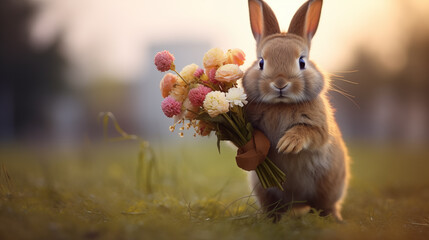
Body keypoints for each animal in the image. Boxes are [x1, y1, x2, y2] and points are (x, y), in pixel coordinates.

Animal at [242, 0, 350, 221]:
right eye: (261, 62)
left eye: (302, 62)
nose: (280, 83)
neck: (281, 105)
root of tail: (298, 203)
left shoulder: (318, 126)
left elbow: (310, 132)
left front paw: (288, 144)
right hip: (264, 190)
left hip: (329, 187)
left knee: (327, 206)